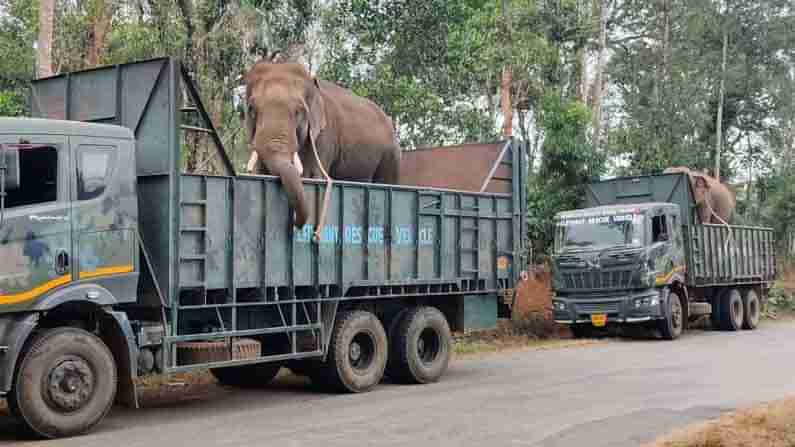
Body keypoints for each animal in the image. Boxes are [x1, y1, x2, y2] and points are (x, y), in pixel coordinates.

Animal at [243, 60, 402, 228]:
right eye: (252, 110)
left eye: (299, 111)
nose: (294, 222)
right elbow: (262, 173)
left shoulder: (324, 137)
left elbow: (312, 176)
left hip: (390, 156)